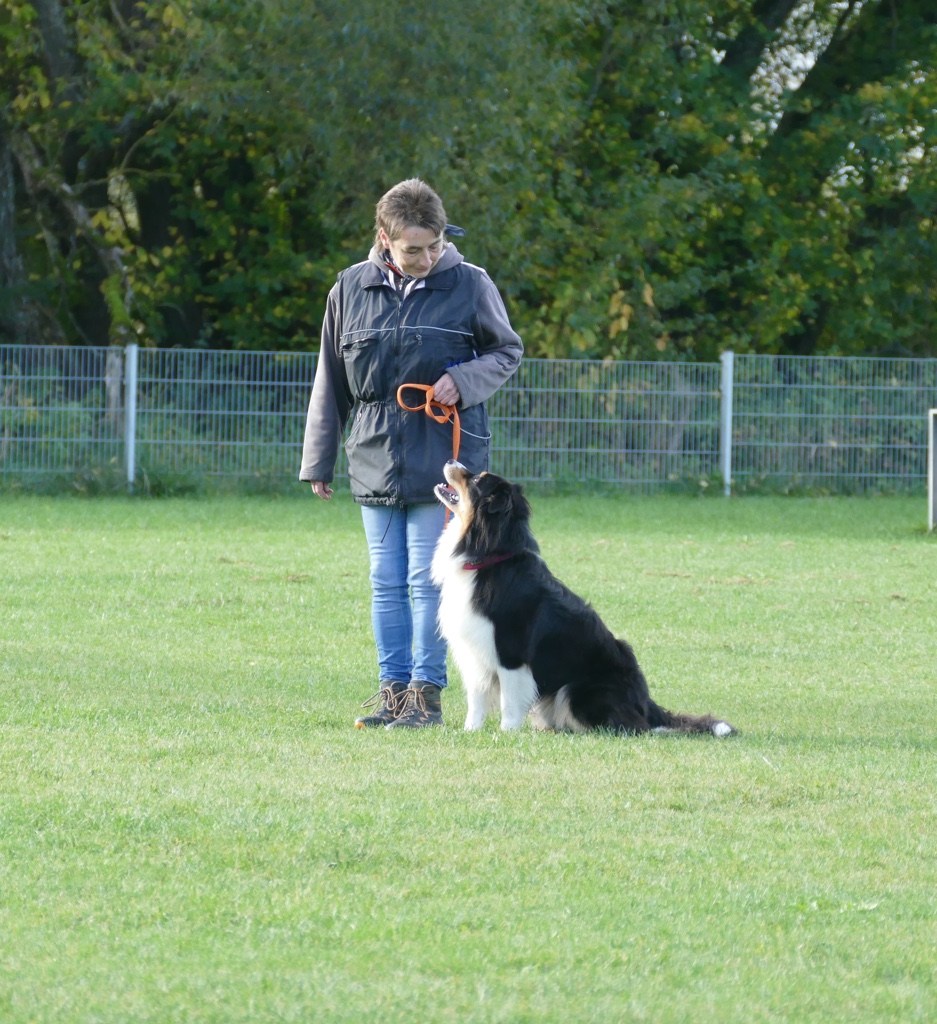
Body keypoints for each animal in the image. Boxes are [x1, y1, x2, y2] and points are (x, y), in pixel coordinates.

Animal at [432, 460, 736, 736]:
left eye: (476, 479)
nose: (449, 460)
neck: (490, 556)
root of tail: (646, 702)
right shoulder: (475, 650)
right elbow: (476, 700)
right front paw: (470, 731)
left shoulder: (511, 653)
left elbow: (510, 700)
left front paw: (506, 733)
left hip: (577, 690)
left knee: (634, 726)